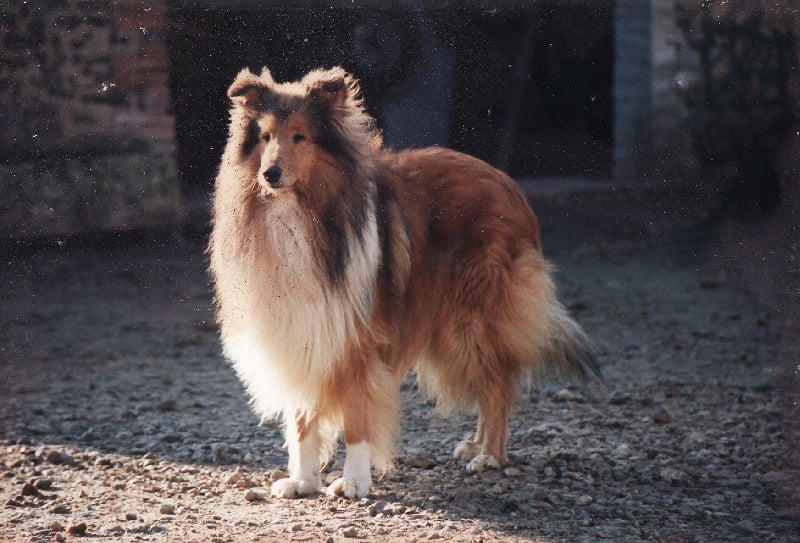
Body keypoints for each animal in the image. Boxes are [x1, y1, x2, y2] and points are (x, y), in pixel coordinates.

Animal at [209, 66, 596, 500]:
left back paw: (490, 456)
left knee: (499, 384)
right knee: (488, 381)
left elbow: (357, 418)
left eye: (300, 136)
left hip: (471, 318)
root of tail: (511, 187)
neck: (300, 214)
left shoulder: (357, 340)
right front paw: (303, 481)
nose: (270, 174)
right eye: (264, 137)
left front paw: (354, 481)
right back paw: (475, 444)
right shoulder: (301, 331)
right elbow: (302, 419)